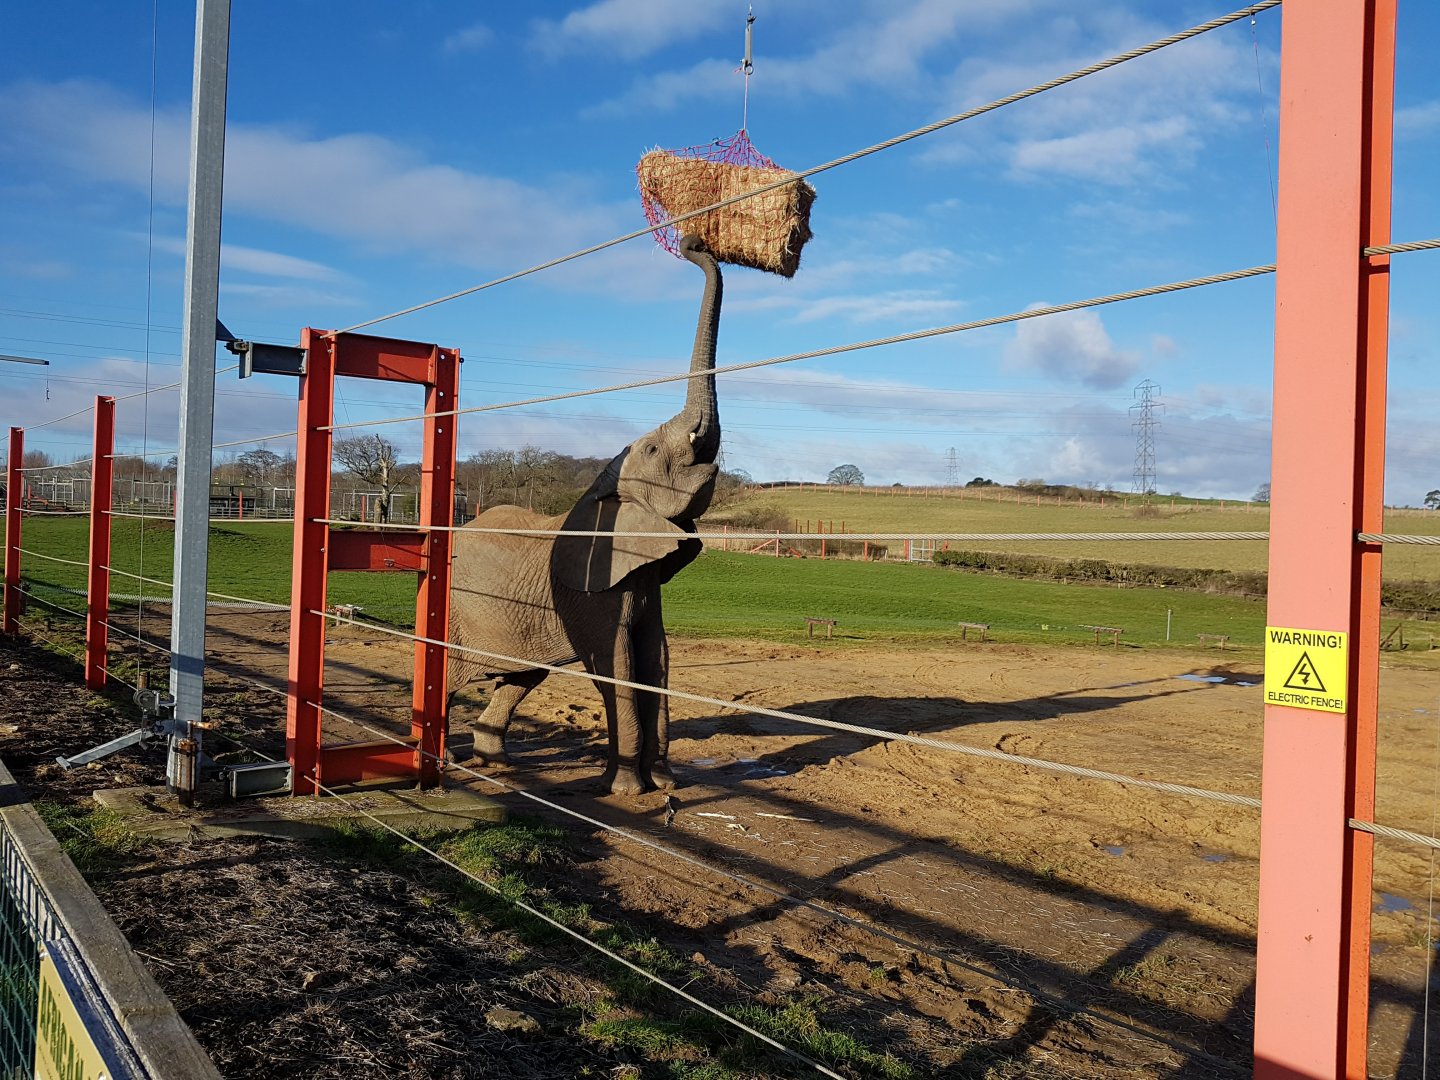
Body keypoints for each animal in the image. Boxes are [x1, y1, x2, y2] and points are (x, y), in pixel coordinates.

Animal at [447, 234, 722, 795]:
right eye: (655, 450)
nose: (691, 242)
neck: (604, 488)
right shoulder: (589, 584)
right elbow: (614, 663)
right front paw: (629, 791)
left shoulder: (641, 579)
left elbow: (656, 658)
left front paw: (666, 785)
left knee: (521, 677)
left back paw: (496, 762)